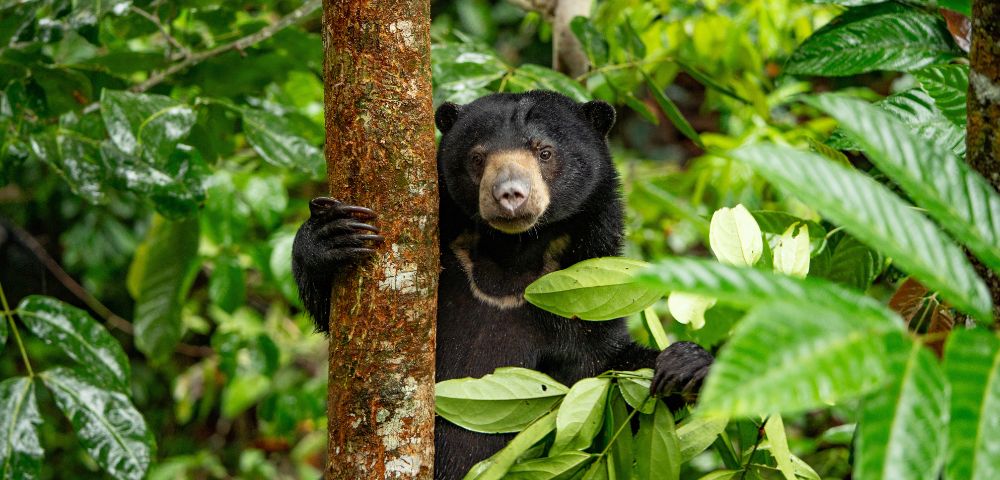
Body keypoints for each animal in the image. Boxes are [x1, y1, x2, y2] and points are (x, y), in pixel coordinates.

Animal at [292, 90, 713, 479]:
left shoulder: (579, 305)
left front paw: (687, 364)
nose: (509, 194)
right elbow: (335, 318)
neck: (512, 255)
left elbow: (610, 376)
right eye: (478, 157)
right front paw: (332, 234)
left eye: (544, 152)